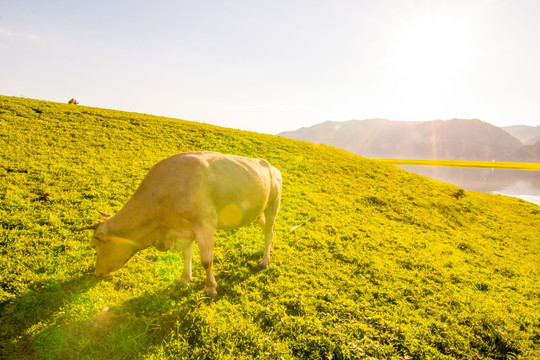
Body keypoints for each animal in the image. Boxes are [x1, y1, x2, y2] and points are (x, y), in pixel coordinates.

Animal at [76, 151, 282, 296]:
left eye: (94, 246)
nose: (96, 272)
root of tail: (271, 167)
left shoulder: (205, 225)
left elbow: (206, 260)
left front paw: (210, 287)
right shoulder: (183, 229)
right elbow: (186, 255)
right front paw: (184, 278)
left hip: (273, 205)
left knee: (269, 232)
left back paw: (265, 260)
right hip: (260, 211)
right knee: (267, 229)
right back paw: (270, 250)